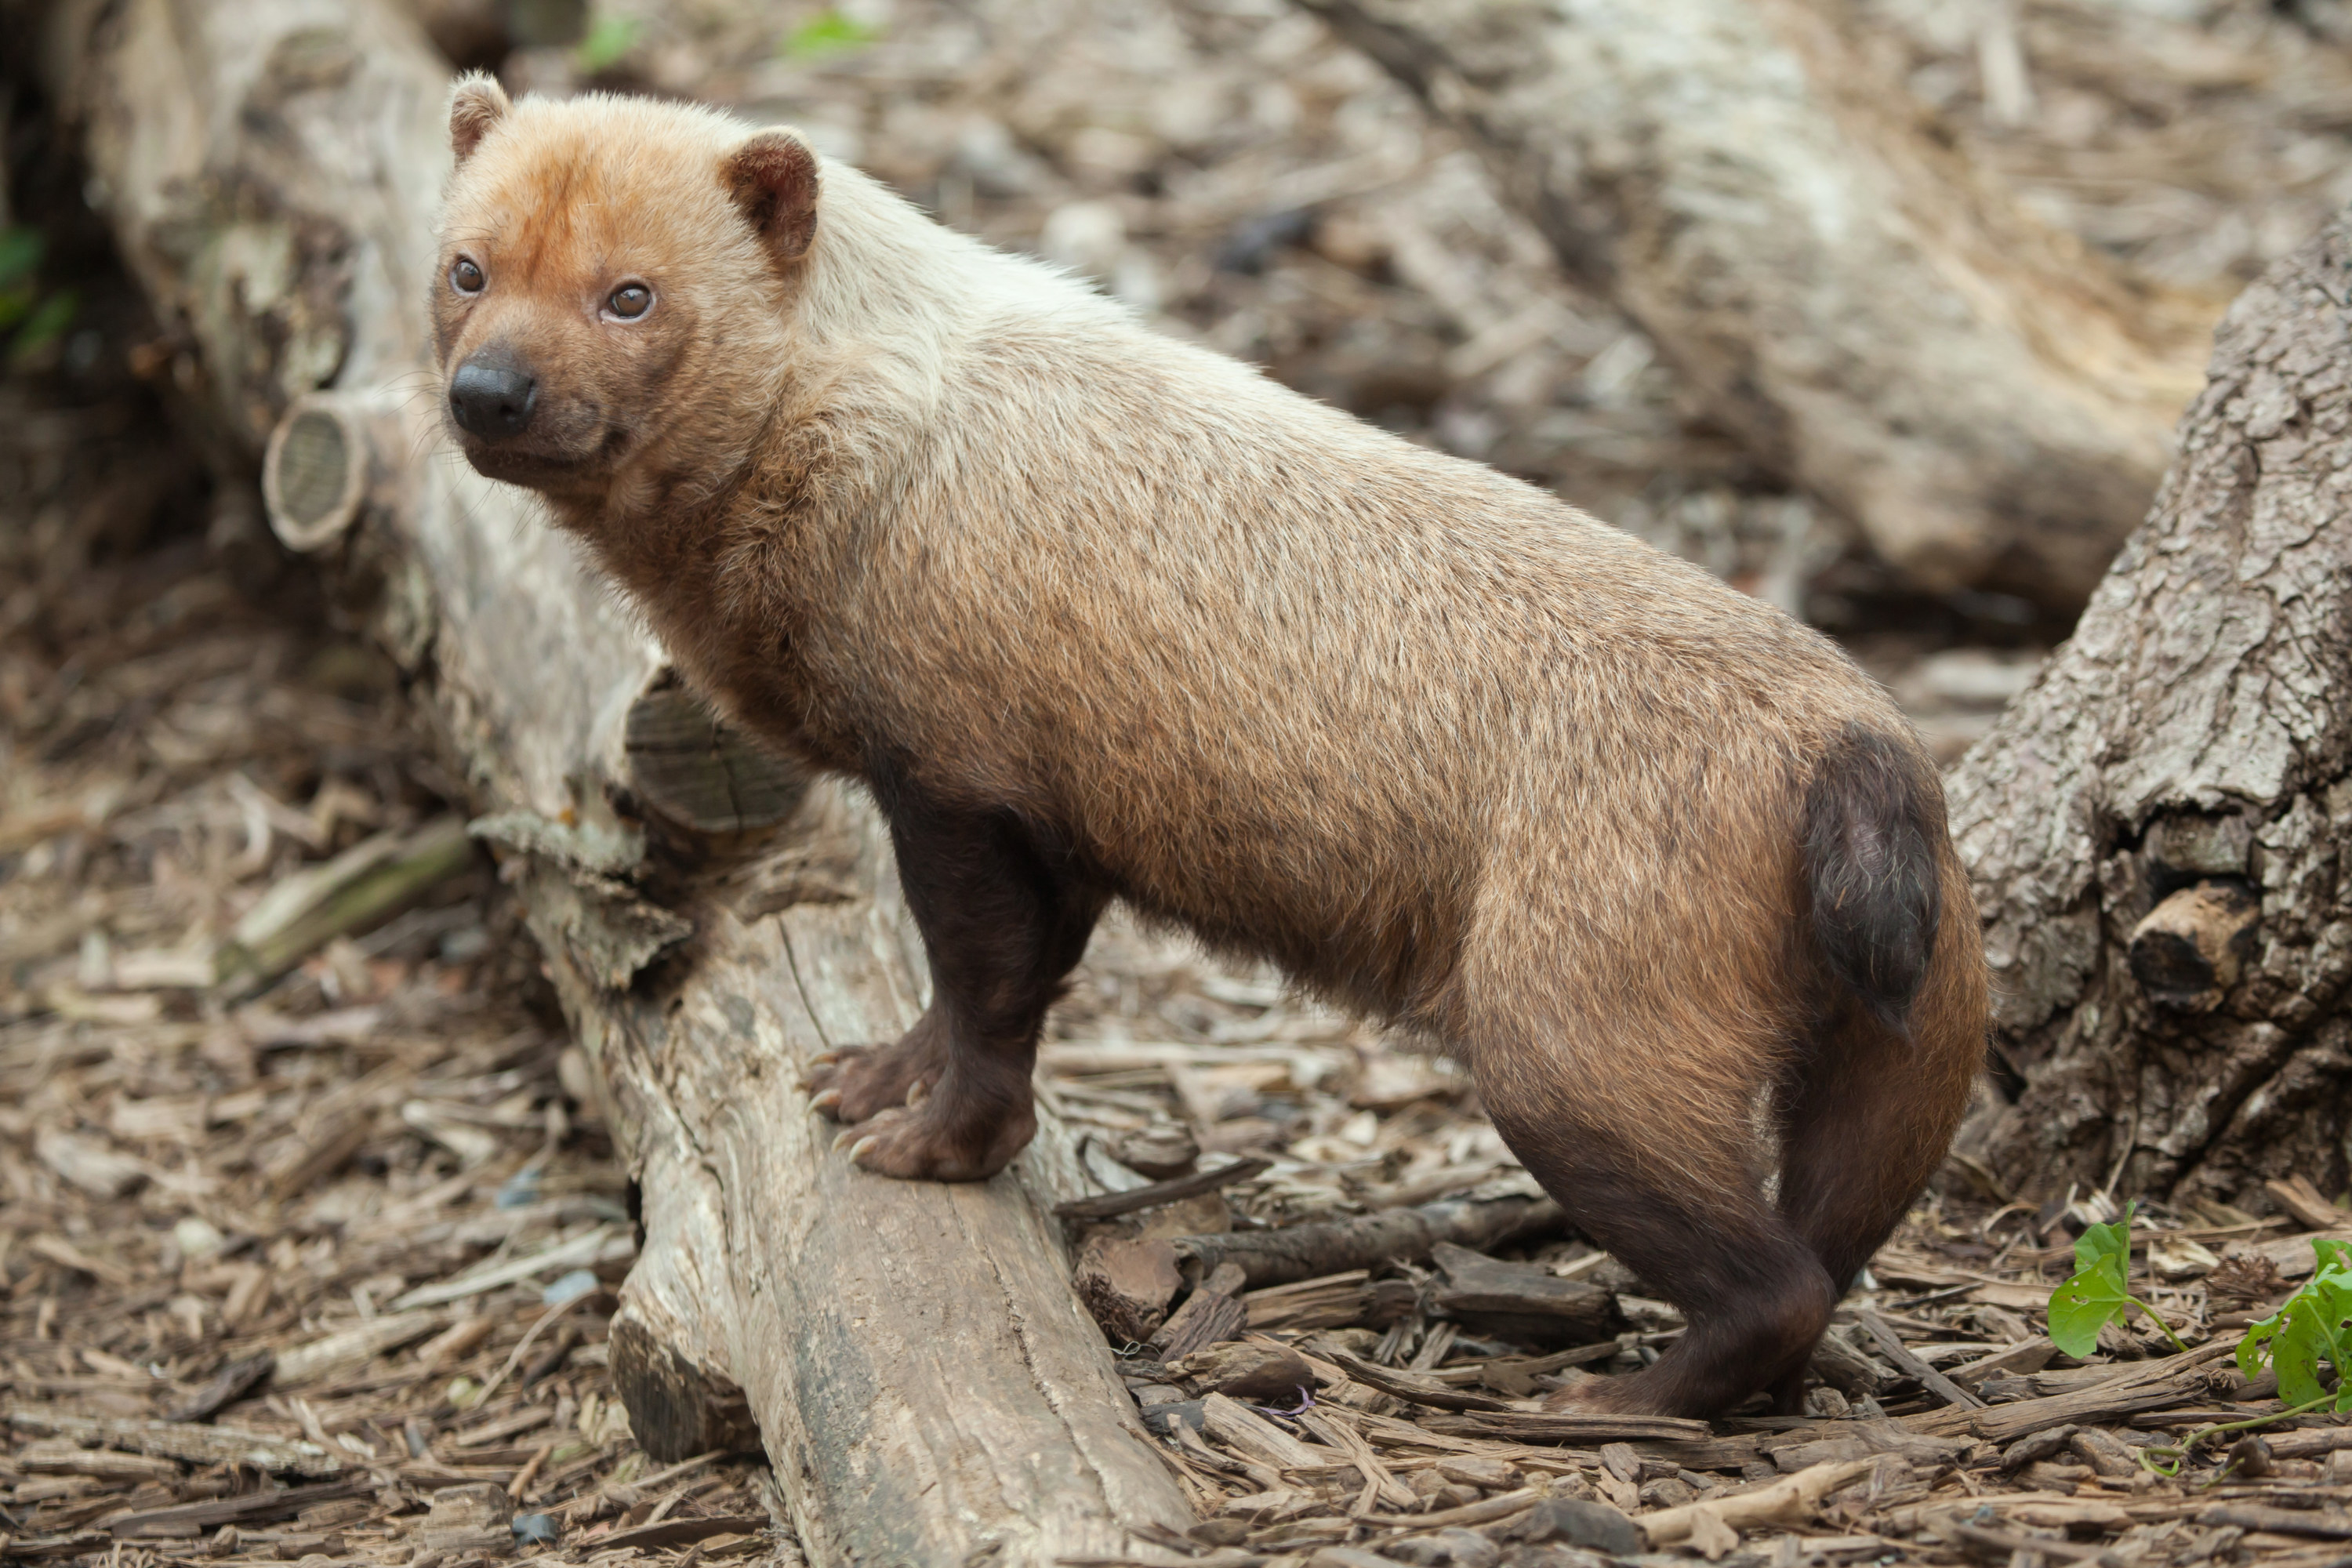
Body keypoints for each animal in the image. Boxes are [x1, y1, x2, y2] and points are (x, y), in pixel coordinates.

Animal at [437, 76, 1985, 1420]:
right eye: (465, 268)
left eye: (632, 293)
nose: (489, 393)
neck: (873, 425)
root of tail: (1855, 755)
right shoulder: (1053, 817)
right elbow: (993, 981)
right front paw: (872, 1075)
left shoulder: (956, 777)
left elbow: (990, 987)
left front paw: (933, 1148)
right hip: (1898, 1066)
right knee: (1838, 1251)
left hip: (1568, 1057)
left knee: (1780, 1283)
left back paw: (1614, 1401)